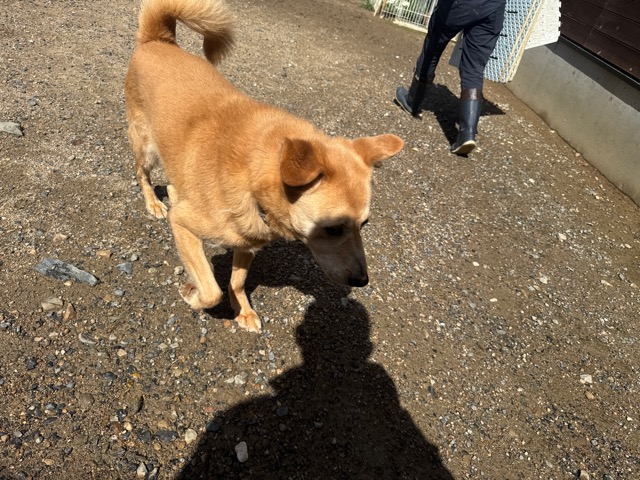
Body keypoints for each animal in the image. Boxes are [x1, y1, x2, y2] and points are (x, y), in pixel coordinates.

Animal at [125, 0, 404, 332]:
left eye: (365, 224)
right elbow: (212, 290)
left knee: (172, 183)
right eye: (334, 228)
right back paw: (153, 203)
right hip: (146, 148)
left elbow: (236, 281)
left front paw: (242, 309)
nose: (362, 280)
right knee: (142, 174)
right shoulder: (182, 224)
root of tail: (157, 40)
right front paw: (192, 293)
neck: (250, 174)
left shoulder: (248, 243)